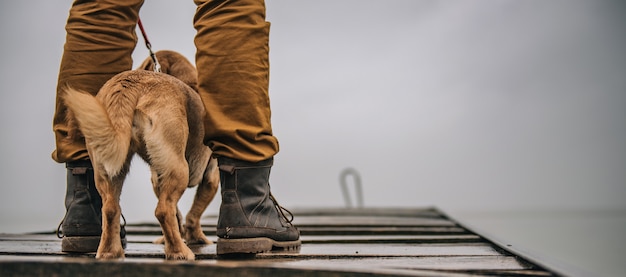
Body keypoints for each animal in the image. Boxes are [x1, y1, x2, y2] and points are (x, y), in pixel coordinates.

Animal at [63, 50, 218, 258]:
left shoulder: (157, 178)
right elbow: (194, 214)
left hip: (109, 169)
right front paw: (197, 238)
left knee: (110, 209)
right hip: (179, 169)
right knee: (163, 210)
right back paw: (179, 252)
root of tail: (131, 85)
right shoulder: (211, 179)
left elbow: (179, 215)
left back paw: (109, 252)